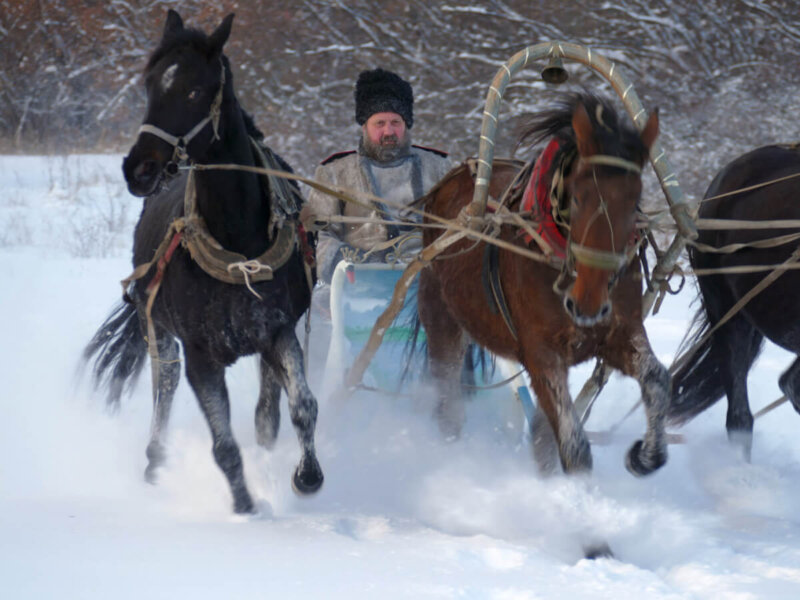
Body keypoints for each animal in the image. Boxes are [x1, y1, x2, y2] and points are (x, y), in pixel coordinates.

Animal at [84, 10, 324, 510]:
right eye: (150, 85)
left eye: (195, 90)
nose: (139, 169)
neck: (237, 243)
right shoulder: (199, 356)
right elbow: (223, 445)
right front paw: (246, 507)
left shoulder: (278, 331)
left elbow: (301, 407)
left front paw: (306, 477)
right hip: (159, 332)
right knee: (165, 386)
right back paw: (155, 463)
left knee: (267, 411)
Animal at [418, 94, 668, 478]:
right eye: (578, 198)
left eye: (633, 202)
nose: (587, 303)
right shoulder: (540, 354)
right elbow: (575, 449)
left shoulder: (619, 334)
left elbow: (656, 377)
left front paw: (647, 455)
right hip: (440, 315)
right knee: (447, 397)